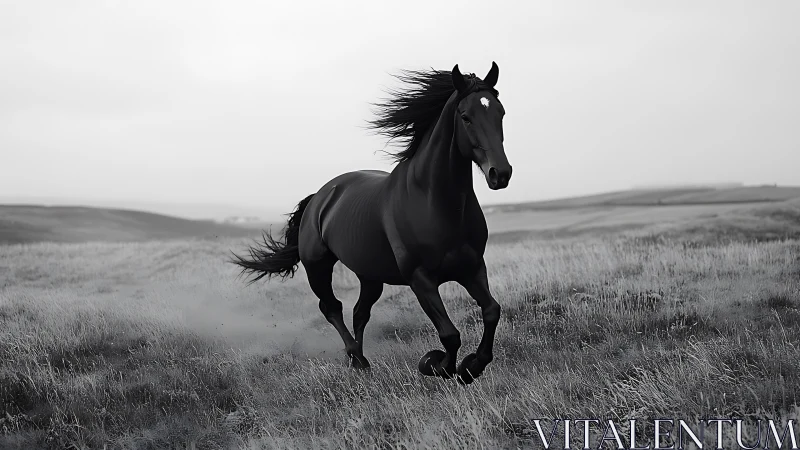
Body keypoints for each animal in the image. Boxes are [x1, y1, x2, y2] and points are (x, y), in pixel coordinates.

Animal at [231, 62, 512, 384]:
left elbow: (491, 311)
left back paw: (359, 358)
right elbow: (449, 334)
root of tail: (320, 197)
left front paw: (471, 366)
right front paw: (435, 365)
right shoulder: (421, 279)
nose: (500, 174)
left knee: (359, 312)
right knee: (332, 308)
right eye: (465, 117)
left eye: (501, 113)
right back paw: (358, 359)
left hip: (370, 275)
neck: (434, 202)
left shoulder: (472, 267)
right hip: (317, 267)